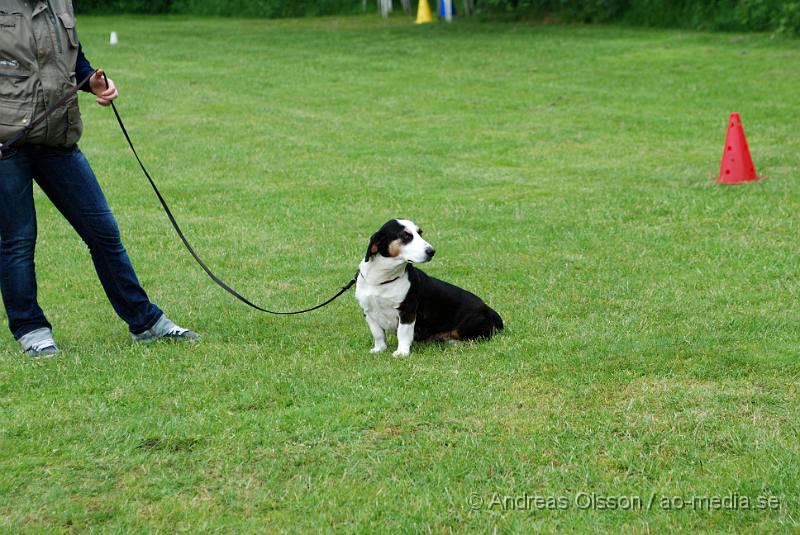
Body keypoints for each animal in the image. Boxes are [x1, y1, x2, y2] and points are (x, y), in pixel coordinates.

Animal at [354, 220, 504, 358]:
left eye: (420, 233)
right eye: (405, 236)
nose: (431, 251)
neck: (382, 280)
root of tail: (489, 310)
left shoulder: (407, 311)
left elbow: (403, 333)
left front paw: (402, 352)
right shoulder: (368, 312)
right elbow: (378, 334)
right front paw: (379, 349)